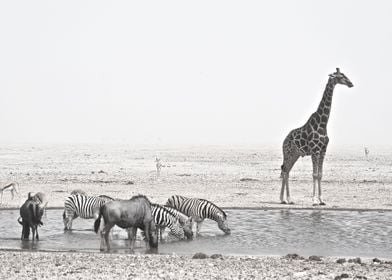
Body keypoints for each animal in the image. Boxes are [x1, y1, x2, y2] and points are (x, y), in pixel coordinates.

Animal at [280, 68, 354, 206]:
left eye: (344, 74)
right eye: (340, 76)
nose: (351, 83)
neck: (323, 123)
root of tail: (284, 140)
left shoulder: (323, 151)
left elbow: (320, 174)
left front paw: (322, 200)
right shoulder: (315, 150)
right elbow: (314, 174)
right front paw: (314, 200)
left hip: (295, 154)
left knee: (286, 171)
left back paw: (285, 199)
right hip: (287, 152)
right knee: (285, 171)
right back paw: (286, 199)